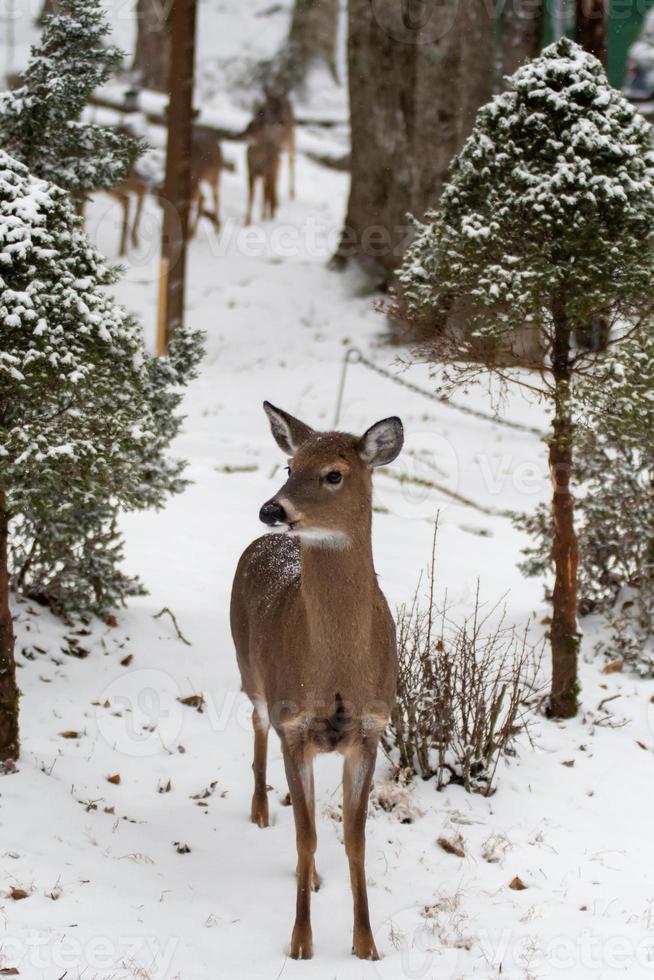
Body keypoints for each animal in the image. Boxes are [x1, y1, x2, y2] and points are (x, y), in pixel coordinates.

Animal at [231, 398, 404, 956]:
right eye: (290, 467)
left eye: (334, 474)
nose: (272, 510)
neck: (336, 671)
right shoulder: (295, 726)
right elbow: (306, 836)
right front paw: (301, 942)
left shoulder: (370, 728)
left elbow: (355, 839)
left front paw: (366, 944)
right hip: (250, 671)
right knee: (256, 724)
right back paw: (261, 810)